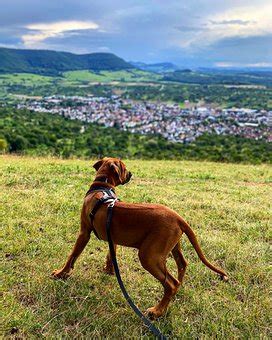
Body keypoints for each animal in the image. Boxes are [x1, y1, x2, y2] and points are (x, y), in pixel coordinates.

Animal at [51, 157, 227, 318]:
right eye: (124, 168)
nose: (131, 174)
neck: (102, 186)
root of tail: (178, 217)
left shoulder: (84, 232)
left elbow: (72, 255)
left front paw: (61, 273)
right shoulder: (112, 237)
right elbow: (110, 255)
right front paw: (109, 271)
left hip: (149, 256)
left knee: (170, 284)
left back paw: (157, 311)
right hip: (172, 246)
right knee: (182, 265)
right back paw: (175, 294)